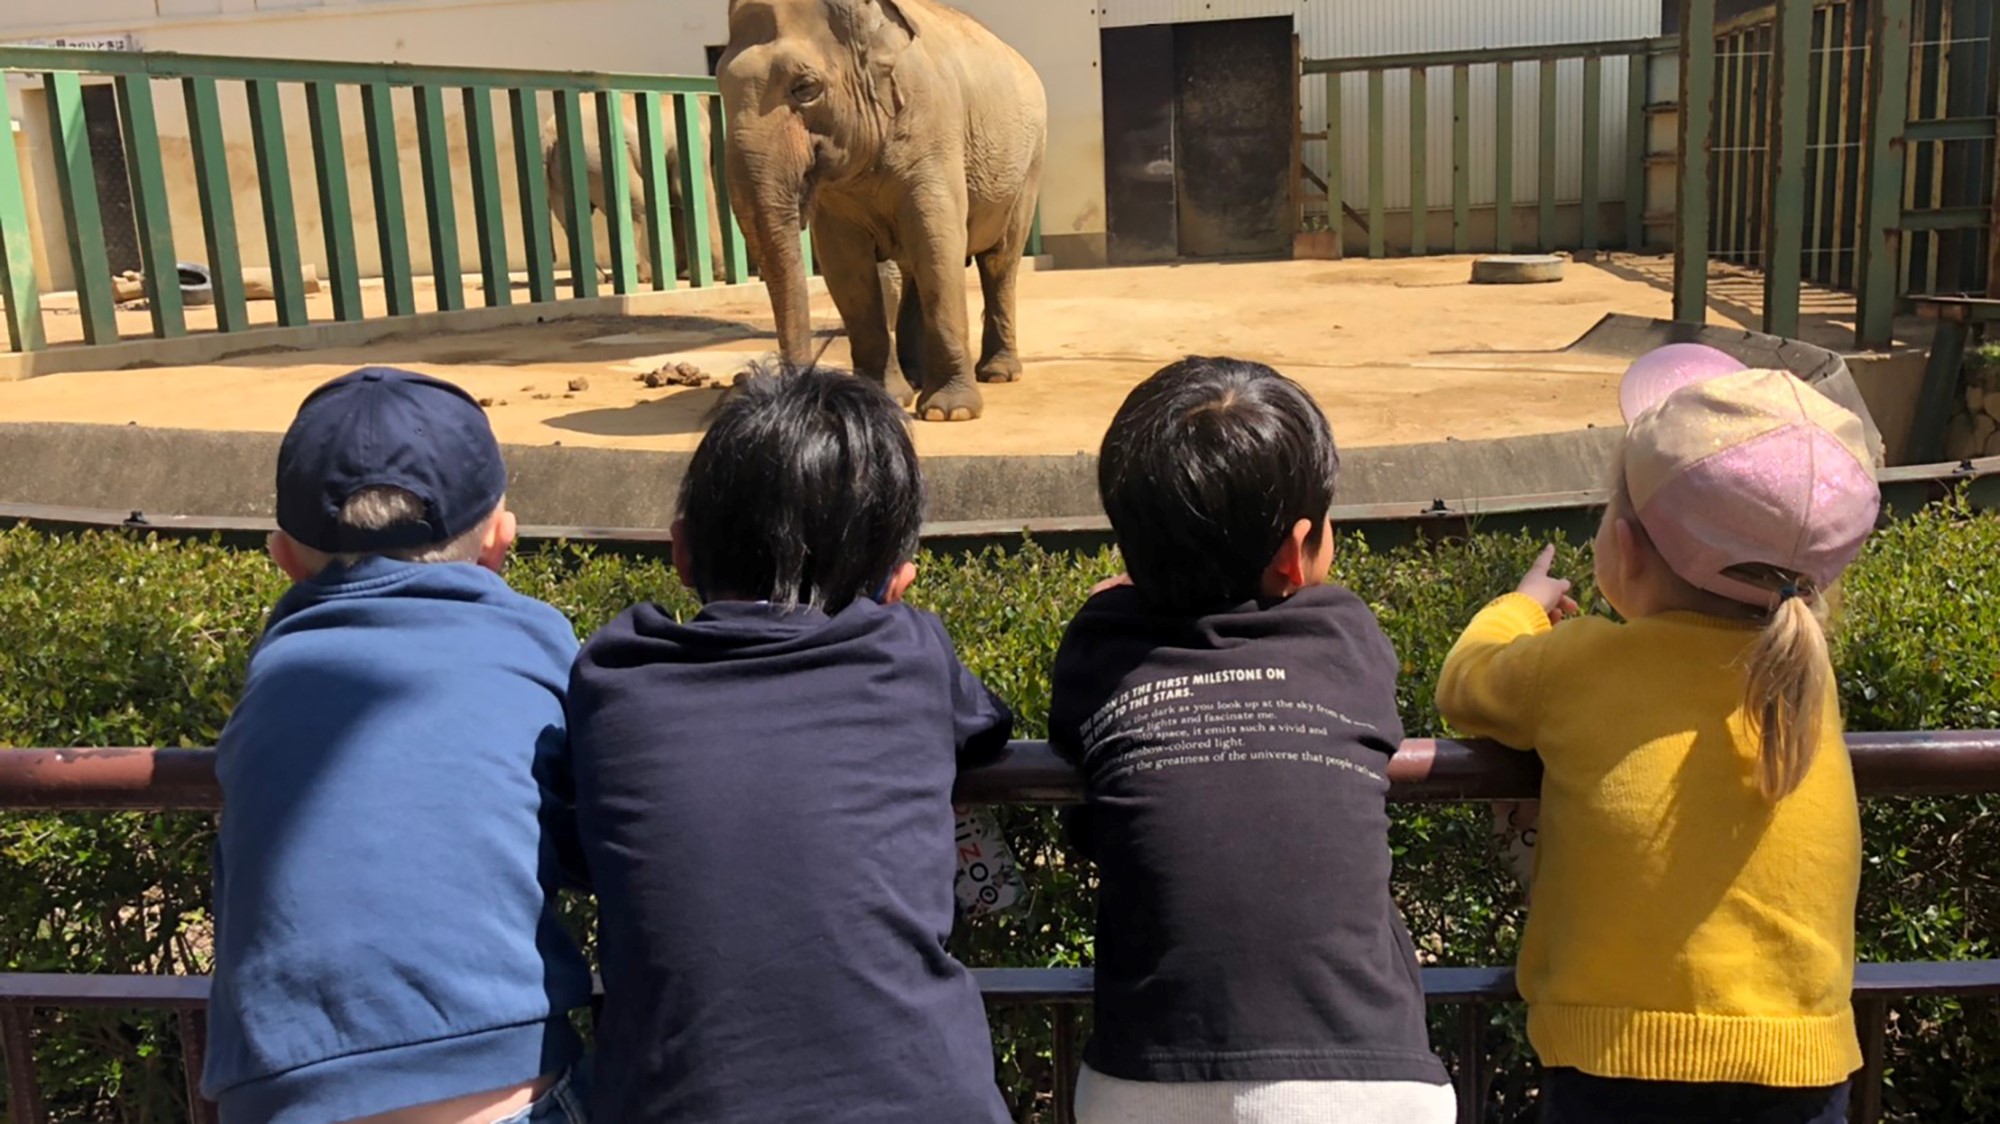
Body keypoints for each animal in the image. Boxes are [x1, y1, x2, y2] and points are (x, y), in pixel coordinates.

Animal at [544, 97, 732, 286]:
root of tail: (549, 134)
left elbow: (673, 196)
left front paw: (684, 274)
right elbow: (688, 191)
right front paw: (721, 274)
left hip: (563, 174)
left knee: (574, 220)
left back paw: (599, 279)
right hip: (597, 158)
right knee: (635, 204)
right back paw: (643, 277)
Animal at [712, 0, 1048, 416]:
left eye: (804, 88)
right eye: (719, 88)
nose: (789, 387)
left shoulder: (933, 132)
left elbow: (939, 246)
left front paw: (948, 412)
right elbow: (845, 267)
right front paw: (883, 397)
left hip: (1030, 166)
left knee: (999, 261)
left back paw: (998, 373)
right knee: (916, 268)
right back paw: (916, 376)